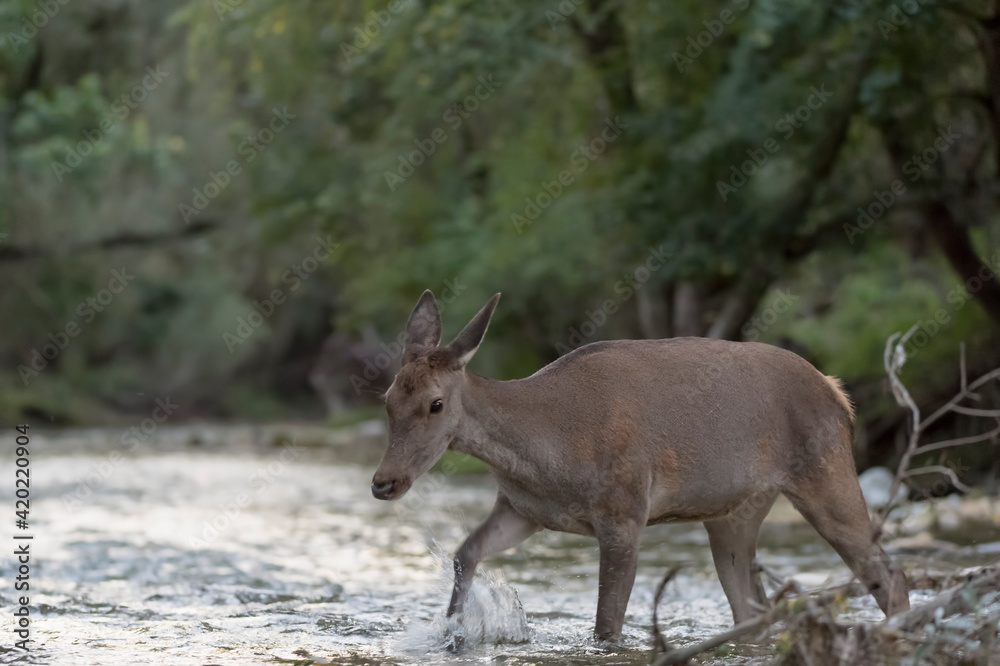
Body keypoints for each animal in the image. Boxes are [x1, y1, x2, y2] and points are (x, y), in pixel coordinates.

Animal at [370, 290, 909, 642]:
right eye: (388, 398)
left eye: (436, 404)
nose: (383, 482)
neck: (546, 455)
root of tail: (840, 395)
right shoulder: (523, 508)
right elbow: (466, 551)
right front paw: (453, 632)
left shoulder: (624, 513)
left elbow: (607, 627)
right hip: (735, 512)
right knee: (751, 607)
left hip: (827, 471)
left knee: (888, 573)